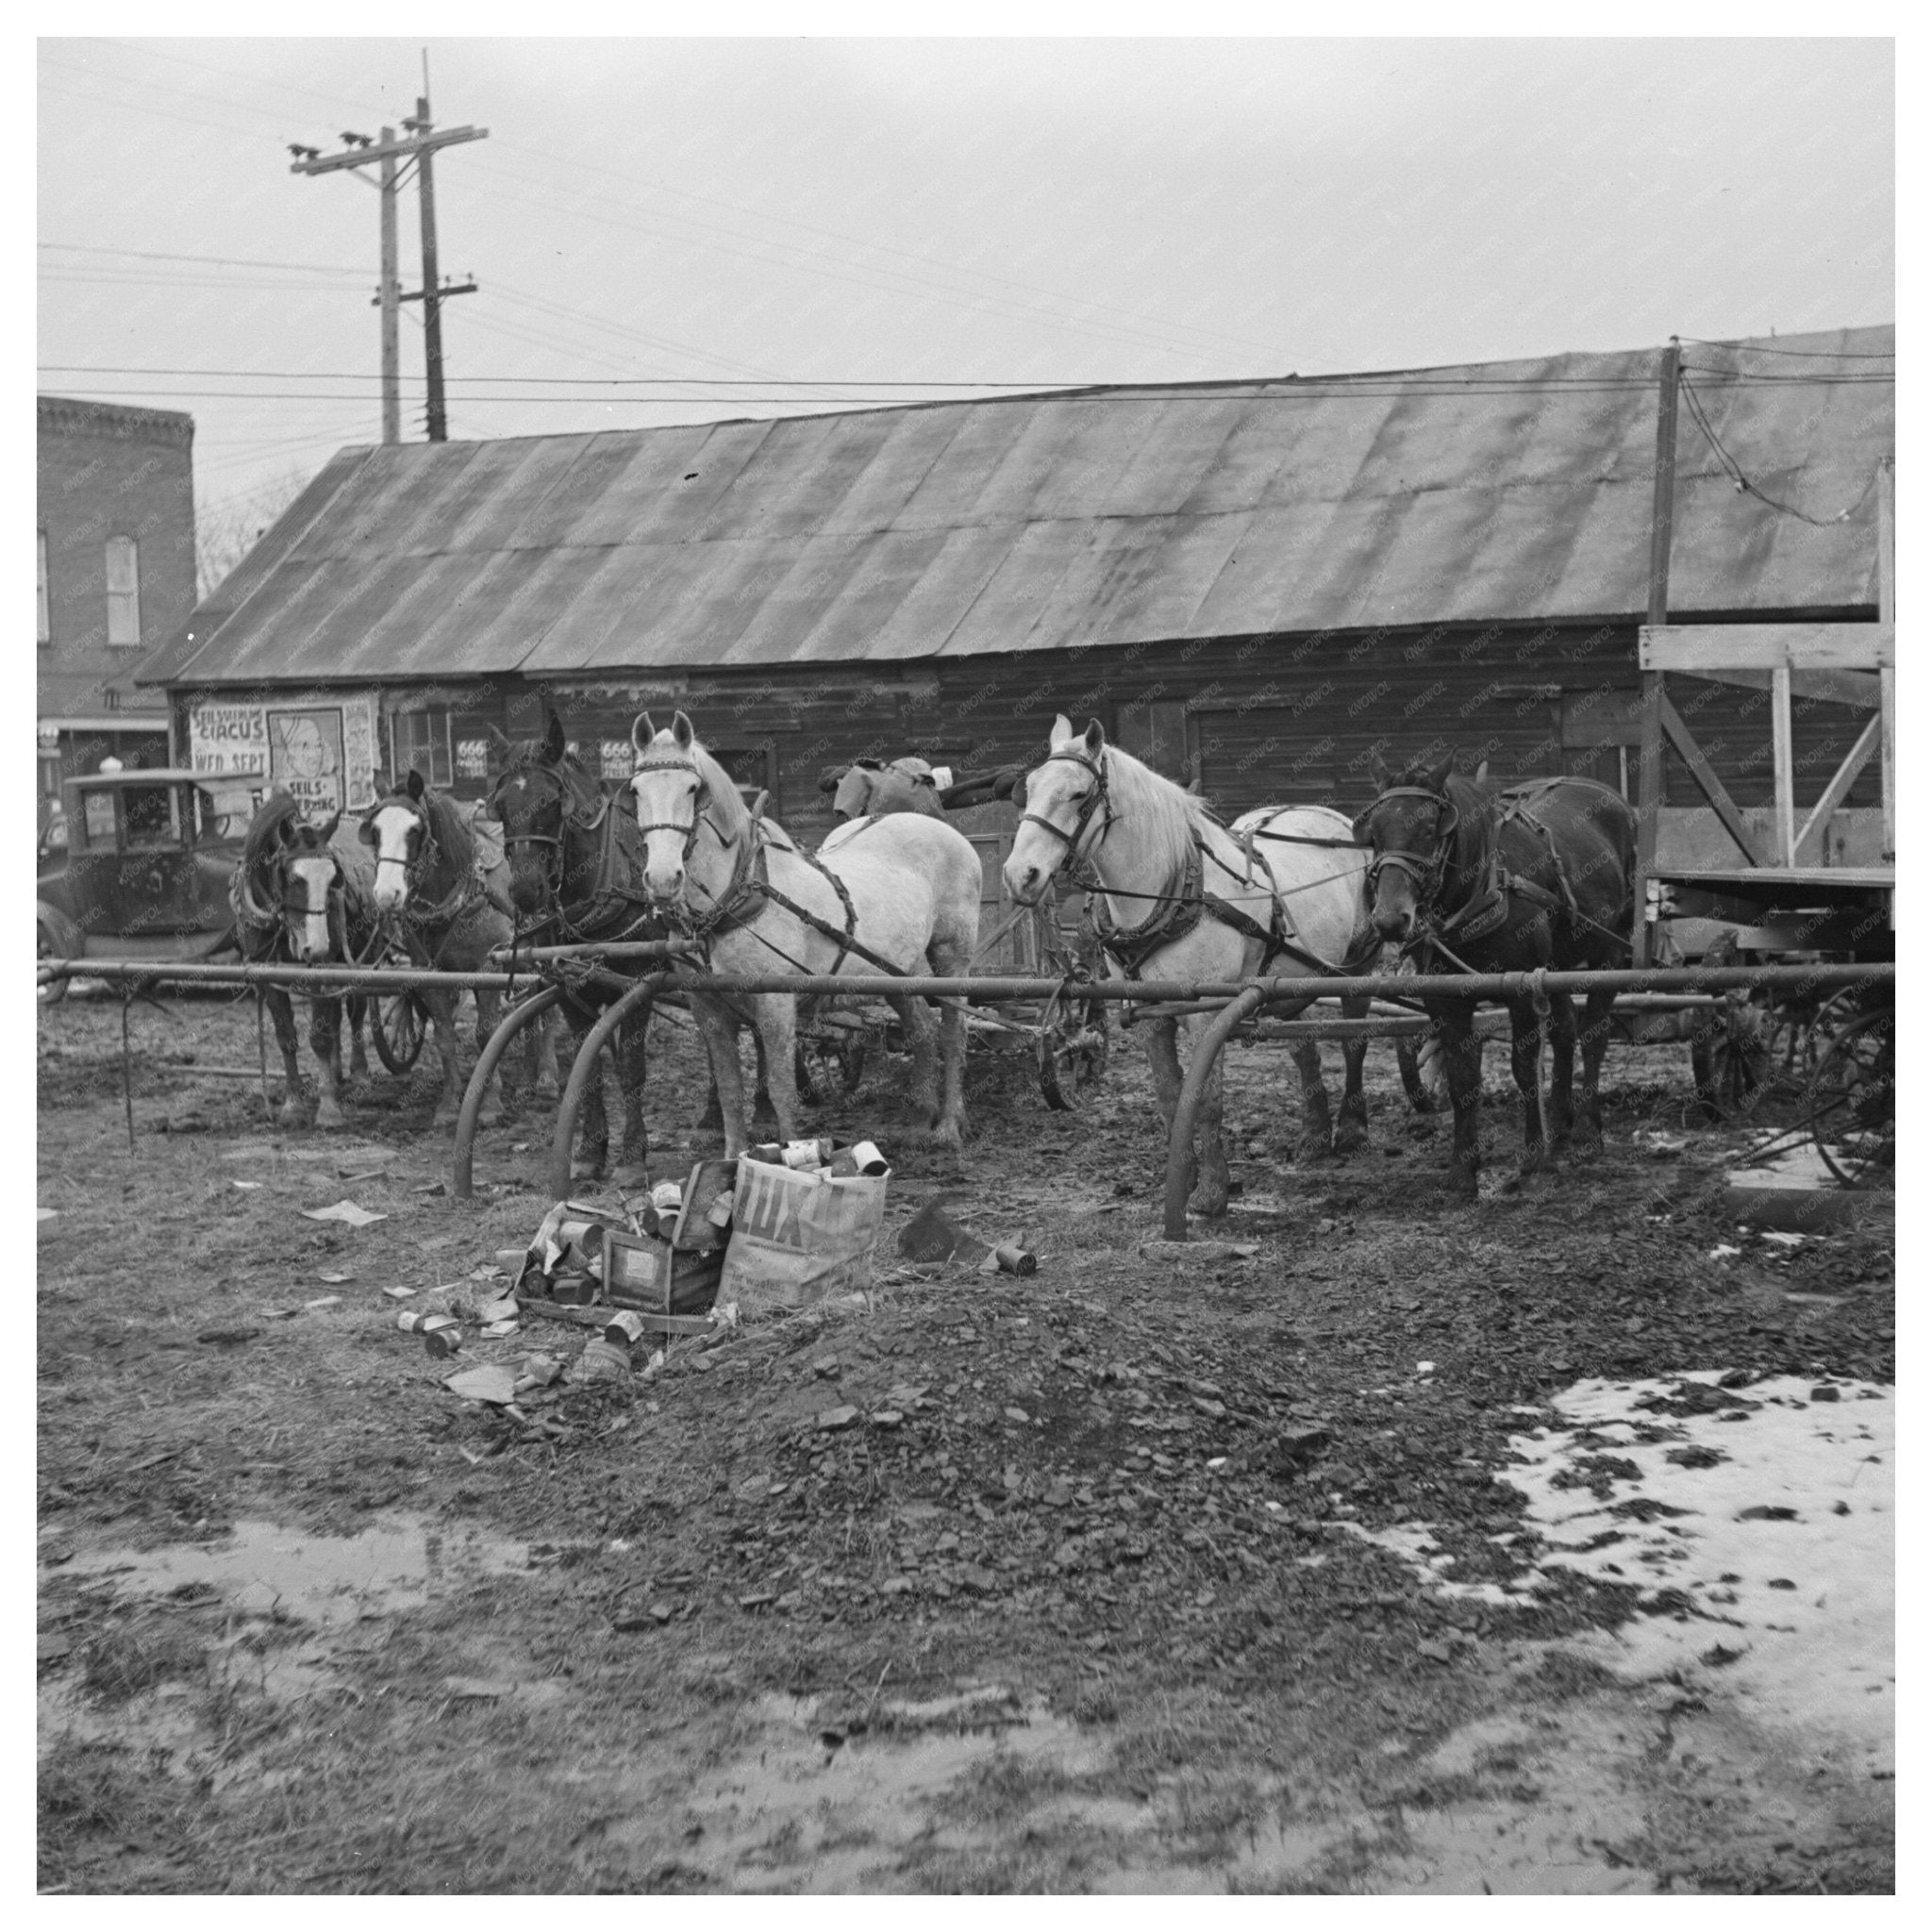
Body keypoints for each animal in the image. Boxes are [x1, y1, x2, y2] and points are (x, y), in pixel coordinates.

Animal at [231, 792, 379, 1128]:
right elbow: (287, 1036)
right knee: (336, 1017)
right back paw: (336, 1074)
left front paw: (328, 1108)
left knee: (356, 1011)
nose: (318, 946)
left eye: (333, 877)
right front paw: (293, 1103)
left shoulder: (324, 969)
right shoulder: (270, 974)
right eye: (291, 877)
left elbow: (320, 1038)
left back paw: (358, 1073)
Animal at [362, 769, 525, 1128]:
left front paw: (489, 1103)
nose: (387, 894)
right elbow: (445, 1036)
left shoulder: (488, 967)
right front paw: (449, 1104)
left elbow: (487, 1033)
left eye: (415, 831)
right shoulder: (429, 974)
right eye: (375, 831)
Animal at [628, 711, 982, 1156]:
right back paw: (921, 1120)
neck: (731, 900)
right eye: (635, 790)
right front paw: (732, 1158)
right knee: (921, 1029)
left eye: (693, 788)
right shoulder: (707, 1007)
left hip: (953, 955)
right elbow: (729, 1093)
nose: (662, 879)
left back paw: (949, 1124)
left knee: (953, 1032)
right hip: (898, 968)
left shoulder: (776, 1001)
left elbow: (782, 1091)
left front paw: (791, 1153)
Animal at [1002, 716, 1379, 1217]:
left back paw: (1353, 1129)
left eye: (1079, 794)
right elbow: (1170, 1098)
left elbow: (1207, 1100)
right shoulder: (1148, 1016)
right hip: (1292, 980)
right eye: (1027, 789)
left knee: (1354, 1041)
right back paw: (1314, 1135)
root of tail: (1332, 819)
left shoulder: (1208, 1014)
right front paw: (1184, 1178)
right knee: (1304, 1047)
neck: (1172, 893)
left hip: (1360, 965)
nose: (1018, 875)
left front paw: (1213, 1192)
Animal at [1354, 751, 1637, 1200]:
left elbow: (1524, 1070)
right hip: (1555, 966)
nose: (1390, 919)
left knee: (1593, 1036)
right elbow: (1463, 1080)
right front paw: (1462, 1169)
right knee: (1565, 1031)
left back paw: (1587, 1132)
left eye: (1430, 829)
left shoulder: (1521, 991)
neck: (1483, 886)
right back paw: (1560, 1124)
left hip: (1610, 952)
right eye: (1374, 833)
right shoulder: (1446, 1000)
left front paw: (1533, 1160)